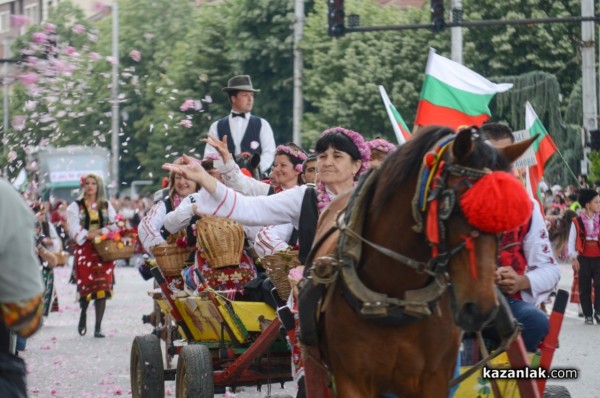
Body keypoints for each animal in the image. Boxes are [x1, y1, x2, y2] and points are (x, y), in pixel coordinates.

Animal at [300, 126, 536, 396]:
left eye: (508, 213)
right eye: (454, 206)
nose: (480, 309)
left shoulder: (435, 378)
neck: (394, 295)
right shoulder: (352, 380)